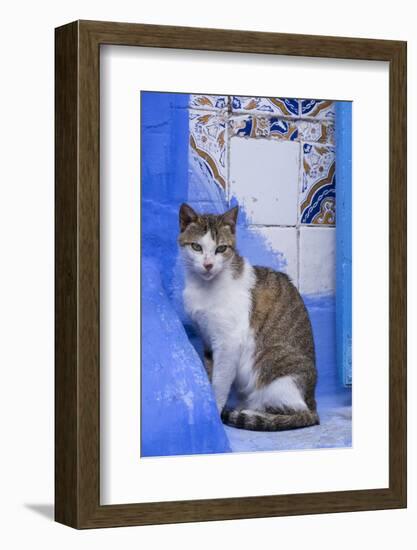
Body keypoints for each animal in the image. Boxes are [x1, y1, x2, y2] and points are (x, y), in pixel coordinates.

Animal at [176, 203, 318, 432]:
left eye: (221, 249)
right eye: (196, 247)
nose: (208, 264)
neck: (204, 288)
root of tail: (313, 401)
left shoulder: (229, 343)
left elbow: (220, 381)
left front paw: (216, 410)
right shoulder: (207, 339)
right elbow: (210, 372)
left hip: (272, 367)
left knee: (295, 412)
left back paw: (250, 413)